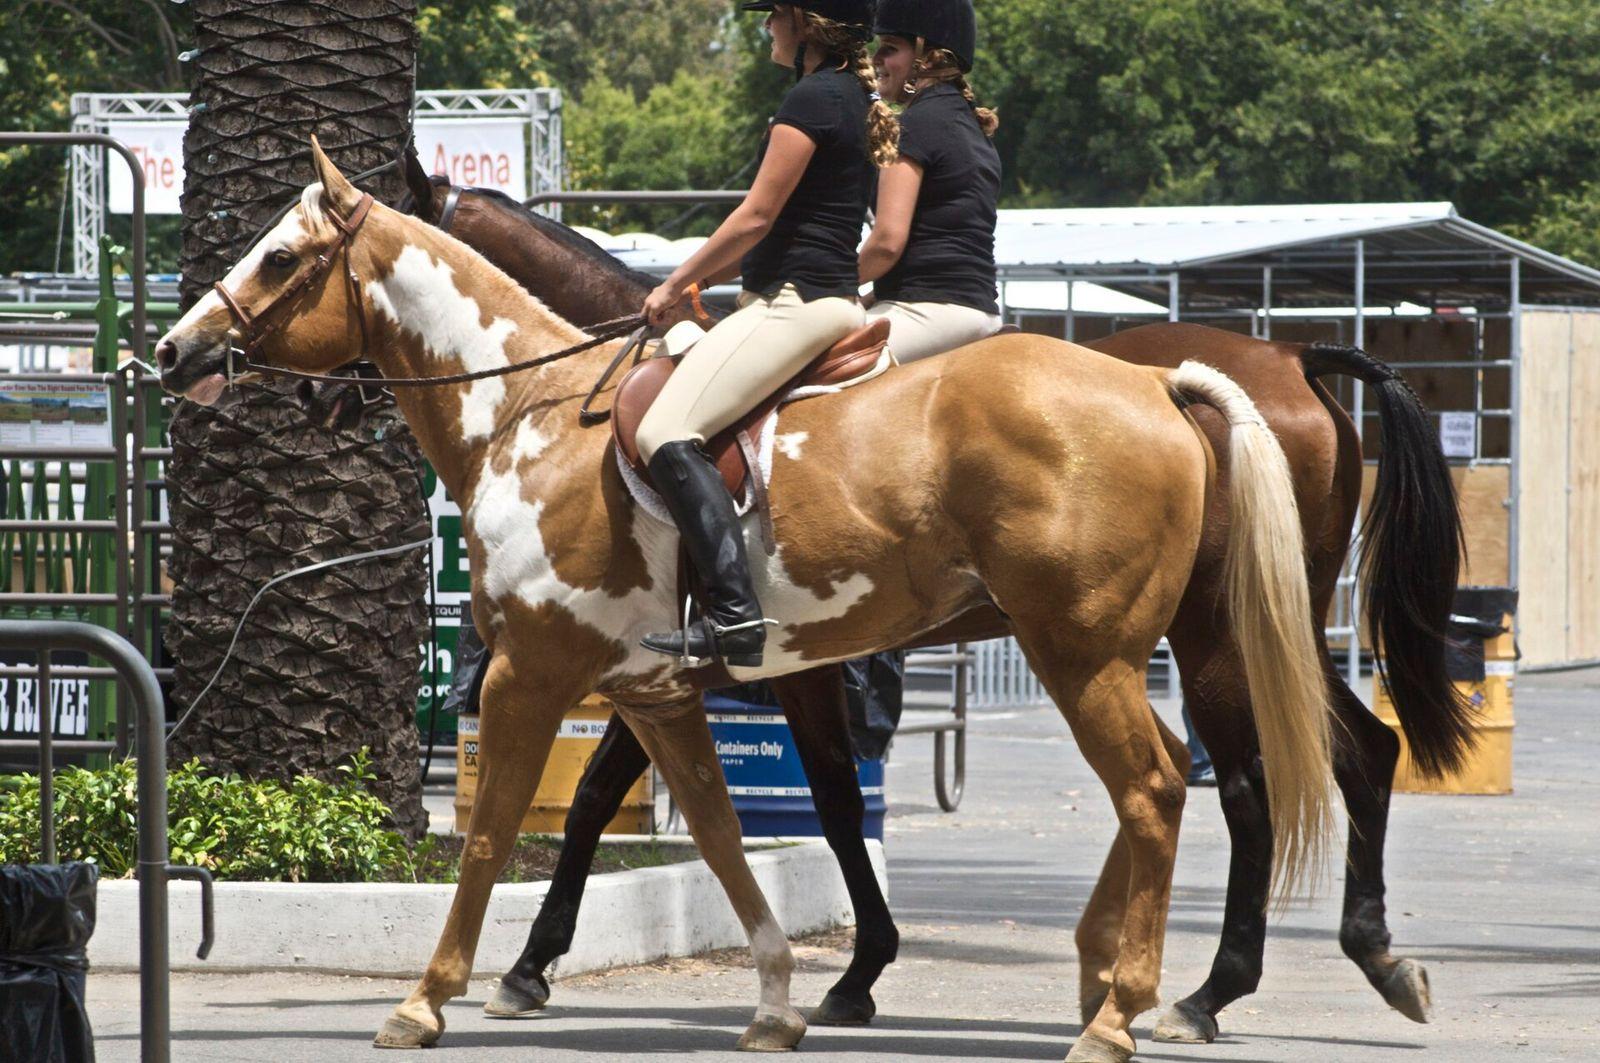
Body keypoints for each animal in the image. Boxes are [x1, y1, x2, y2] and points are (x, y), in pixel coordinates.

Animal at [155, 138, 1336, 1063]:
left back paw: (1128, 1008)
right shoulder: (657, 694)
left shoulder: (531, 673)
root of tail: (1157, 382)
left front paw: (429, 997)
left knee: (1162, 789)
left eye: (279, 256)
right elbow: (718, 839)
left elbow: (493, 835)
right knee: (1175, 782)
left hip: (1089, 652)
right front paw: (778, 1000)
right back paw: (1119, 978)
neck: (532, 410)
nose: (173, 350)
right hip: (1118, 652)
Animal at [399, 166, 1468, 1042]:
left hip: (1212, 638)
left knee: (1242, 785)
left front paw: (530, 965)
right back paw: (1329, 960)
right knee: (1352, 752)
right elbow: (757, 799)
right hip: (1233, 631)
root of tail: (1289, 361)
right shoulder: (719, 662)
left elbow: (698, 799)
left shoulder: (742, 661)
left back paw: (1205, 992)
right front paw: (850, 971)